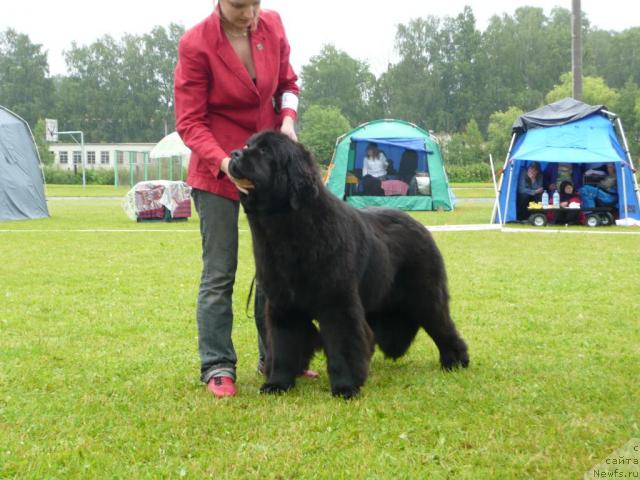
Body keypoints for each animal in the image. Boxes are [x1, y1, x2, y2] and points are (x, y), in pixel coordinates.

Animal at [228, 130, 468, 398]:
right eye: (247, 145)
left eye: (265, 151)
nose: (234, 154)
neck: (287, 230)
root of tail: (419, 225)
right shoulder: (283, 303)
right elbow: (283, 345)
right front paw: (277, 384)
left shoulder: (337, 301)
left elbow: (343, 343)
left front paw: (345, 386)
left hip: (424, 296)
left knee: (442, 325)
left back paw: (455, 361)